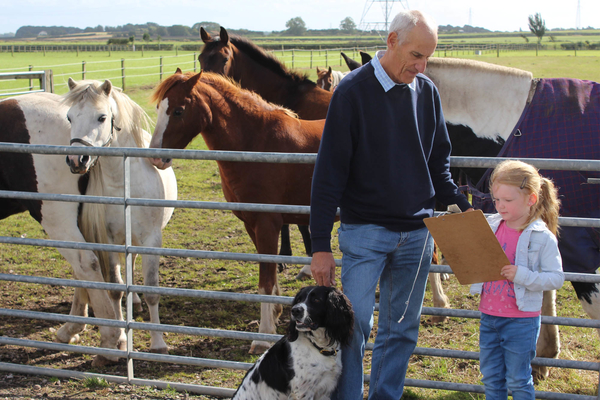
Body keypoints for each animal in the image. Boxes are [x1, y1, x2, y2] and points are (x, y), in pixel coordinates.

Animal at [148, 70, 326, 354]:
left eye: (178, 111)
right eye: (158, 108)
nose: (155, 157)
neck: (257, 142)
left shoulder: (267, 224)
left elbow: (265, 282)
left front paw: (262, 337)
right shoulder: (251, 224)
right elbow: (271, 277)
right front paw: (273, 319)